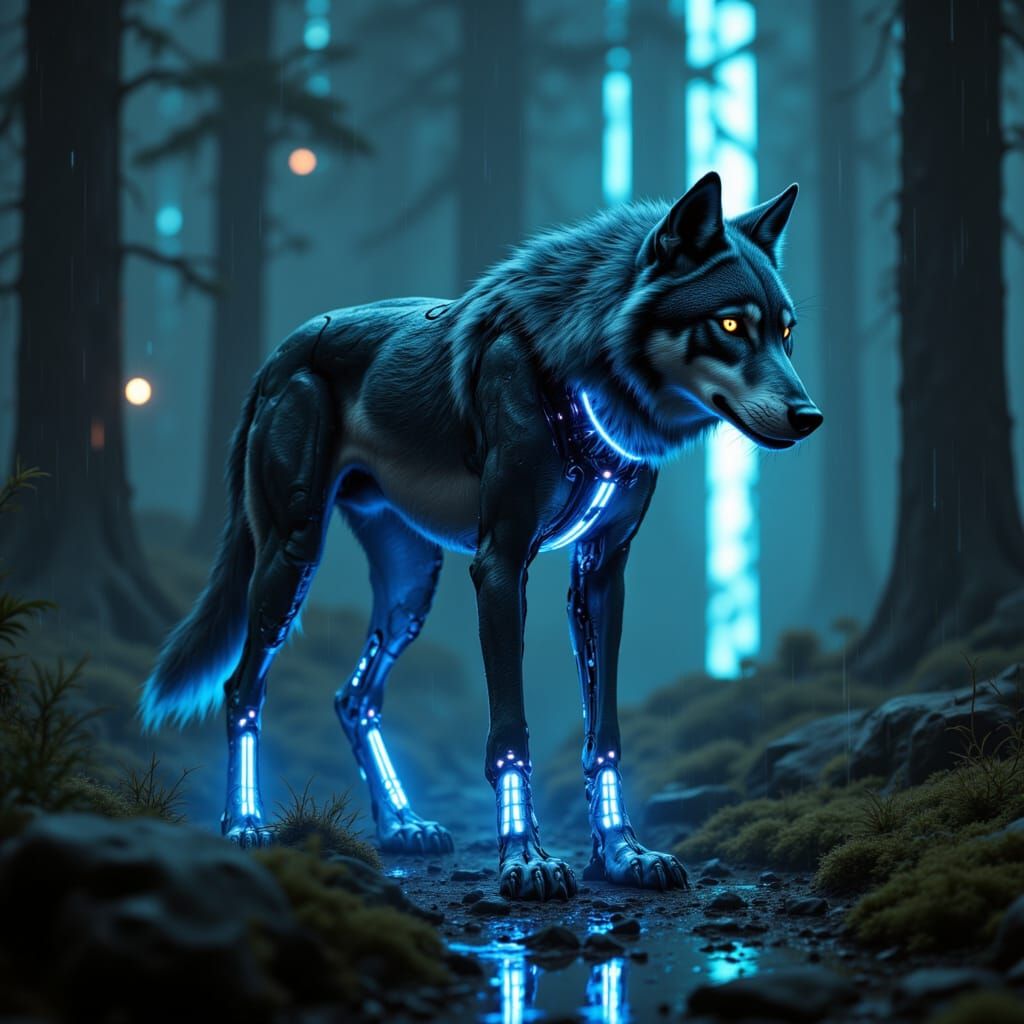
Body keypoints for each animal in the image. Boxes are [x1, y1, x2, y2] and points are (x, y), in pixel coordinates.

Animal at [141, 172, 821, 901]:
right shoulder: (500, 565)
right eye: (730, 325)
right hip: (292, 559)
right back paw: (245, 823)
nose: (810, 417)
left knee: (354, 696)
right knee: (243, 689)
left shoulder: (603, 572)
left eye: (786, 333)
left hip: (411, 588)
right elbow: (510, 731)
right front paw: (524, 857)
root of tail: (281, 350)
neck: (582, 378)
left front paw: (622, 852)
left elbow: (603, 731)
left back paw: (403, 825)